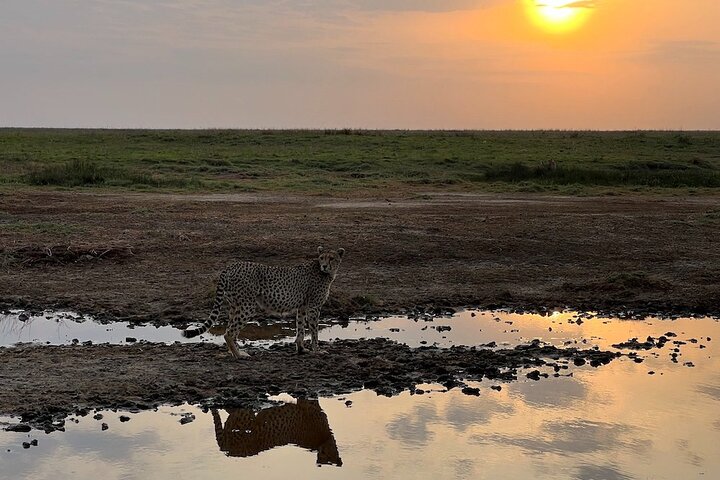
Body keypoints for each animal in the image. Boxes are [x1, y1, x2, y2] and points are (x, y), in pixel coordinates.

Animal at [184, 248, 344, 356]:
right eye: (322, 257)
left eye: (331, 258)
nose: (324, 265)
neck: (324, 272)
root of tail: (231, 266)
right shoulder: (313, 307)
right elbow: (314, 331)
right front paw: (317, 350)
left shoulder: (303, 307)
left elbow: (300, 329)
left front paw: (301, 349)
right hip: (247, 306)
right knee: (228, 333)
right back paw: (238, 355)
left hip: (235, 305)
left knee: (231, 329)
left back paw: (236, 351)